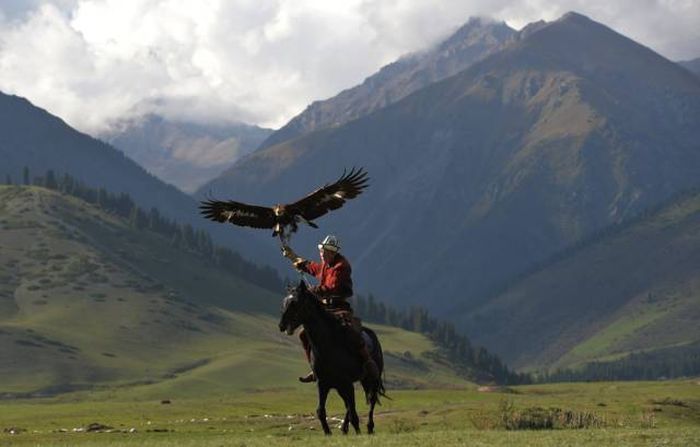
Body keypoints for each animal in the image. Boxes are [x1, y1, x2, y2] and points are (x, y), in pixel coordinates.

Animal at [280, 282, 388, 436]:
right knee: (348, 405)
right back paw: (344, 428)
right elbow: (321, 411)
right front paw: (328, 433)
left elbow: (354, 413)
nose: (282, 325)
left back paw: (369, 427)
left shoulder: (347, 383)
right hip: (340, 386)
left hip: (369, 379)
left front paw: (358, 433)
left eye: (295, 303)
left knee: (371, 400)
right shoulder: (323, 383)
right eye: (284, 302)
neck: (327, 345)